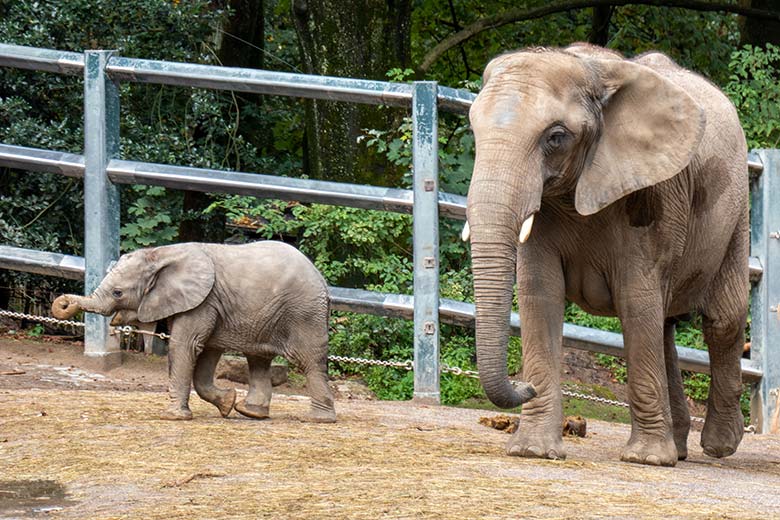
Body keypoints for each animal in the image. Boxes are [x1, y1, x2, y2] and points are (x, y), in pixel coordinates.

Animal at [53, 241, 334, 422]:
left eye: (118, 293)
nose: (63, 303)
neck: (161, 254)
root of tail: (322, 280)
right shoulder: (210, 303)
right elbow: (207, 353)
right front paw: (227, 404)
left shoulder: (204, 300)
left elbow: (185, 346)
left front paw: (173, 417)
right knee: (258, 360)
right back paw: (251, 412)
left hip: (304, 312)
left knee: (309, 361)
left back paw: (319, 419)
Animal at [464, 43, 748, 468]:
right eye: (473, 131)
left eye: (556, 137)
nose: (524, 385)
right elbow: (539, 295)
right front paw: (532, 451)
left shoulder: (651, 197)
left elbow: (635, 300)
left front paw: (647, 460)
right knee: (664, 325)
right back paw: (679, 448)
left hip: (737, 208)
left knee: (722, 319)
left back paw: (719, 446)